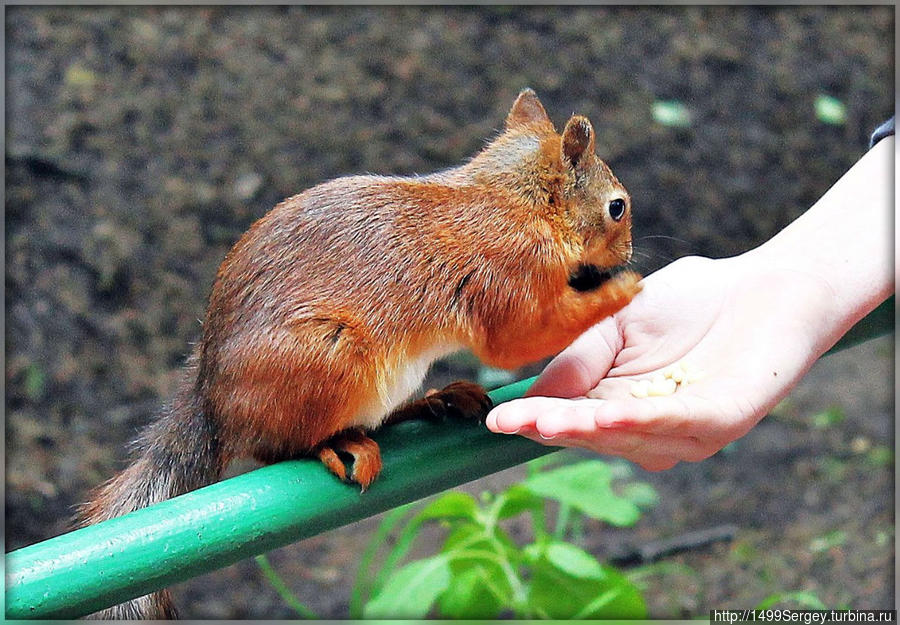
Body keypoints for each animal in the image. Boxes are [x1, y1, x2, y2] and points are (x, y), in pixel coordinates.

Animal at [75, 89, 640, 620]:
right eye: (618, 207)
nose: (628, 254)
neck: (515, 200)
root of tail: (211, 406)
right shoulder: (507, 275)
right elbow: (517, 339)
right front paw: (623, 288)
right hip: (327, 362)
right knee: (273, 448)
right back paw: (336, 445)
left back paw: (437, 400)